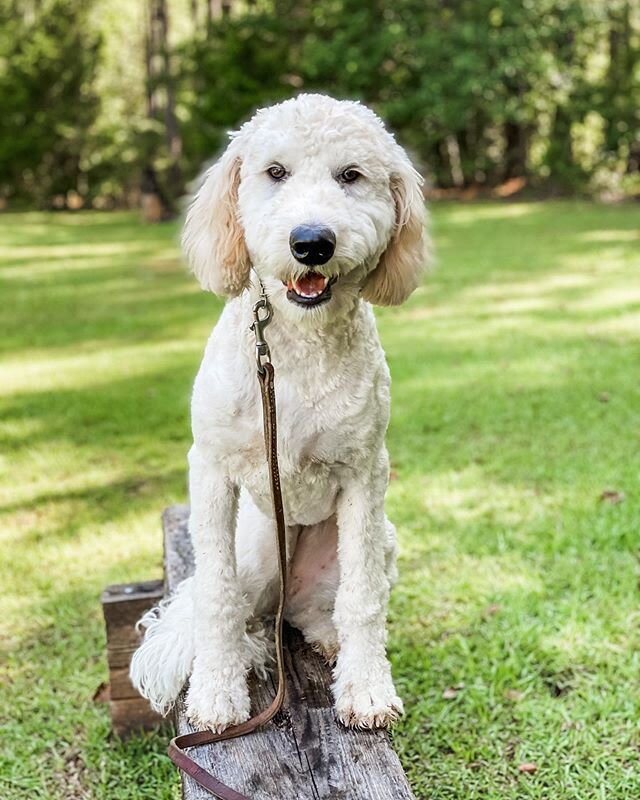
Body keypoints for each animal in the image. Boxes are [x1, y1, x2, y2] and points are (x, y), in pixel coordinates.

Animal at [129, 94, 430, 732]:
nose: (312, 242)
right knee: (237, 609)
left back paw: (329, 641)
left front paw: (367, 689)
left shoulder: (365, 474)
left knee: (321, 610)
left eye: (351, 176)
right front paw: (217, 692)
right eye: (275, 172)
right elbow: (216, 598)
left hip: (379, 538)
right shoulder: (211, 470)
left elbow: (363, 600)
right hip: (255, 552)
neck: (296, 343)